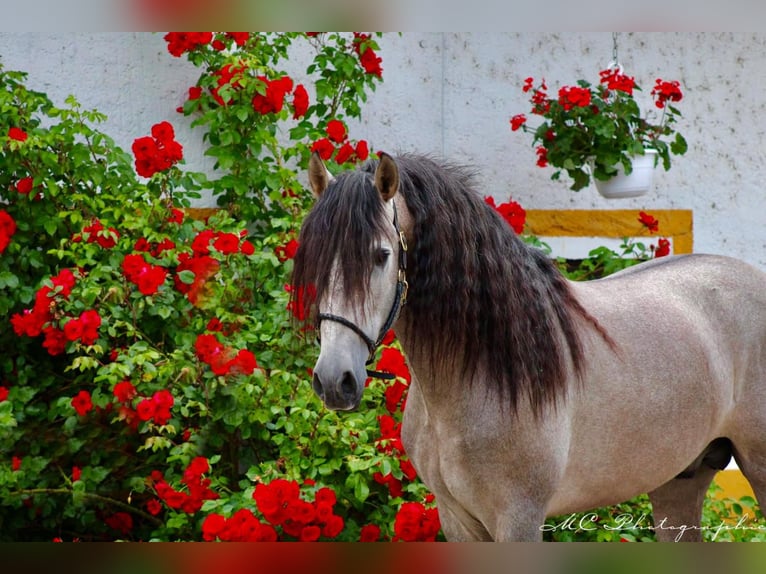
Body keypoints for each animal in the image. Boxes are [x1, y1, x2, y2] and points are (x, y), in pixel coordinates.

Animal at [292, 151, 766, 544]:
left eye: (381, 255)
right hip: (678, 481)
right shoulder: (458, 520)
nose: (334, 380)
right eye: (313, 258)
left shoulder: (518, 519)